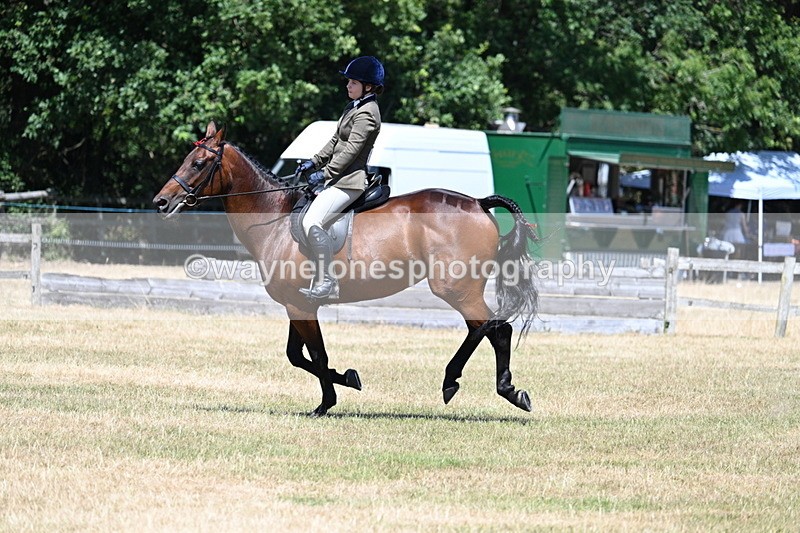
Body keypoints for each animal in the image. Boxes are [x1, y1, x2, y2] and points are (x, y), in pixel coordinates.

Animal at [154, 121, 539, 417]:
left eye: (199, 163)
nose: (161, 202)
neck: (274, 219)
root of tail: (478, 202)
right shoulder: (300, 304)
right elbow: (298, 356)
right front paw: (344, 382)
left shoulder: (300, 304)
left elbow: (315, 355)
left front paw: (329, 400)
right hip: (461, 290)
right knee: (485, 329)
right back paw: (475, 384)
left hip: (456, 288)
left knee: (496, 328)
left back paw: (485, 387)